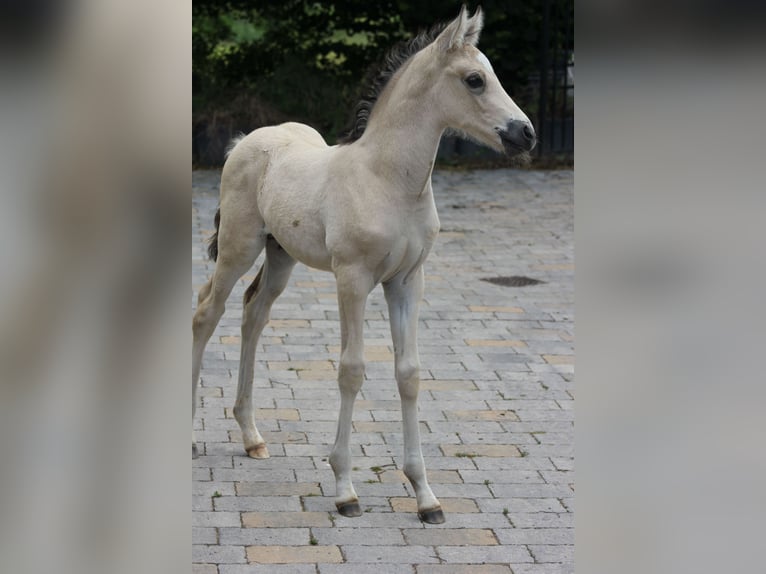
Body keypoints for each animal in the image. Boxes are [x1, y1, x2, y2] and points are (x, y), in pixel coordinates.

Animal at [195, 5, 536, 528]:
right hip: (239, 246)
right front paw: (344, 489)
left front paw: (425, 496)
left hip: (281, 255)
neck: (389, 181)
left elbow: (409, 372)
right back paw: (192, 437)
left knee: (254, 313)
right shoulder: (352, 278)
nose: (526, 134)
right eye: (475, 80)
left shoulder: (407, 281)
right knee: (206, 313)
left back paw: (252, 437)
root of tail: (242, 142)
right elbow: (352, 370)